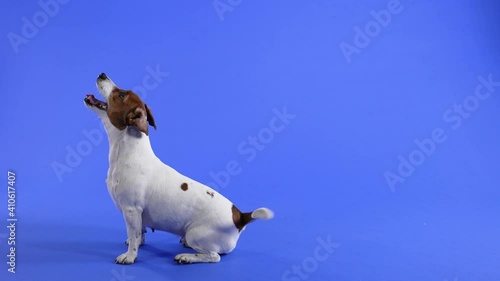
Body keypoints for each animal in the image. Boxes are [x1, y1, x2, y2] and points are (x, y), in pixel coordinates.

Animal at [85, 71, 274, 262]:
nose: (102, 74)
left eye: (121, 95)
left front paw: (130, 256)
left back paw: (186, 257)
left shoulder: (131, 210)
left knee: (213, 256)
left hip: (196, 234)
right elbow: (140, 233)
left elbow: (133, 235)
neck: (128, 151)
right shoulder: (138, 215)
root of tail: (239, 217)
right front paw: (138, 244)